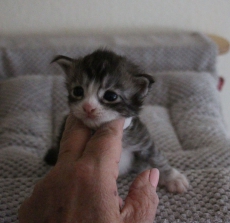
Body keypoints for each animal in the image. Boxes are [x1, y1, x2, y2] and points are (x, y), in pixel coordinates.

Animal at [44, 49, 189, 193]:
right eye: (78, 91)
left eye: (110, 96)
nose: (88, 107)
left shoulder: (141, 138)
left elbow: (156, 157)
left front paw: (173, 178)